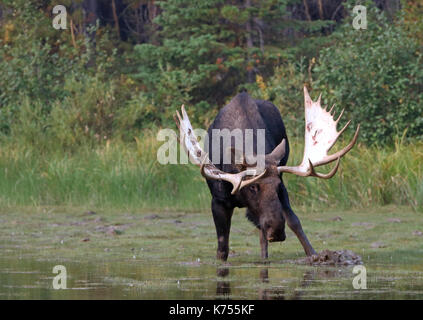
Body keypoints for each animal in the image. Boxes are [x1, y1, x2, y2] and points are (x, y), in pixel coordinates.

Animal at [176, 87, 362, 260]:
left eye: (278, 186)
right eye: (252, 187)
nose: (277, 230)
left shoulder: (282, 188)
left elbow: (295, 222)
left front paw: (315, 255)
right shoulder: (218, 200)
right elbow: (222, 249)